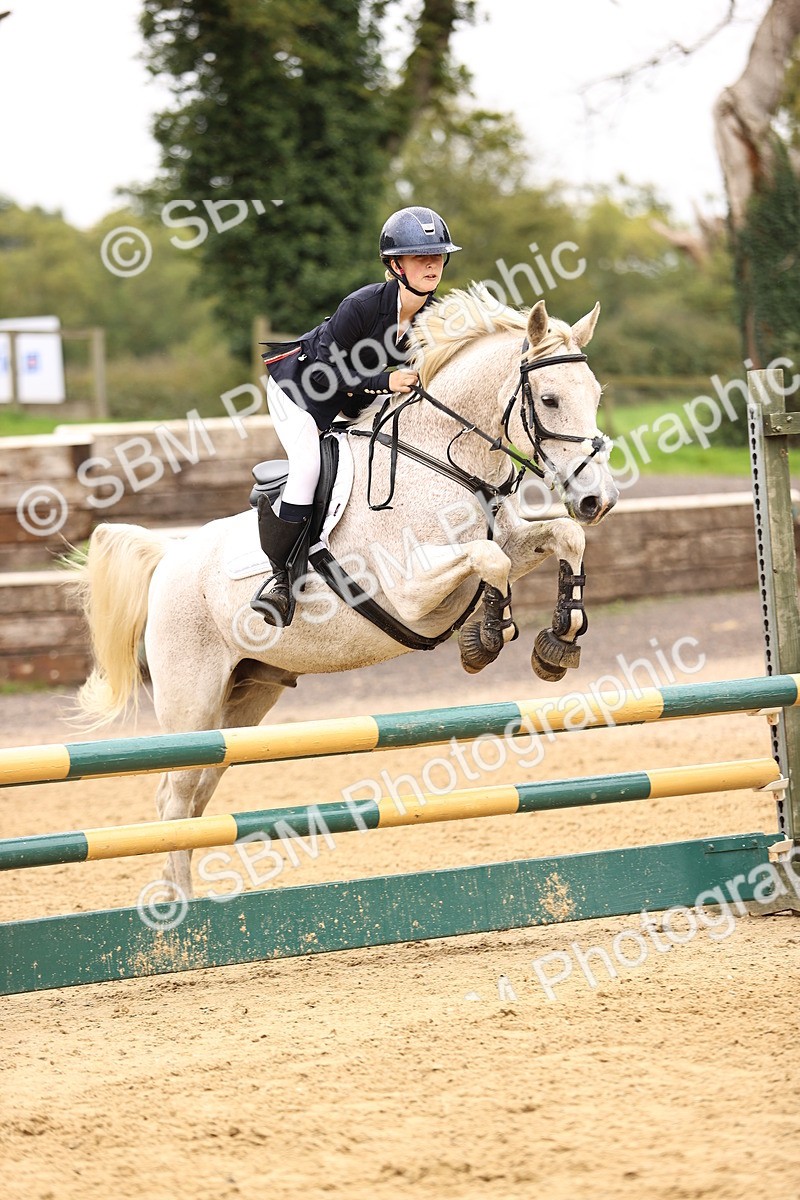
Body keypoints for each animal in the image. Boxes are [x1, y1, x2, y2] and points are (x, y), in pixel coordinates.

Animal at [74, 286, 618, 898]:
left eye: (596, 394)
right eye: (549, 399)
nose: (599, 499)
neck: (440, 461)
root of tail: (169, 557)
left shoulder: (508, 539)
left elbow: (562, 537)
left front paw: (560, 640)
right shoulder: (410, 591)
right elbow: (491, 560)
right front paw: (486, 636)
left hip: (244, 699)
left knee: (196, 795)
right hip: (191, 701)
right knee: (174, 797)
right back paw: (185, 912)